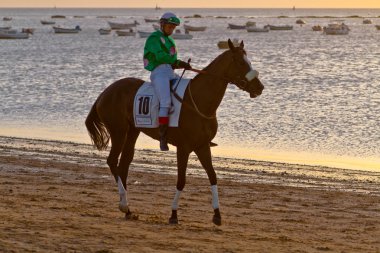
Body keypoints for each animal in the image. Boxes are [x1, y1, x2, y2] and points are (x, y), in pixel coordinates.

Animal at [85, 39, 264, 225]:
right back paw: (124, 205)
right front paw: (173, 214)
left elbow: (213, 176)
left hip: (132, 131)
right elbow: (181, 181)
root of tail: (105, 92)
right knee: (112, 161)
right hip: (118, 131)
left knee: (123, 166)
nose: (260, 87)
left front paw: (217, 214)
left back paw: (128, 210)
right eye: (241, 62)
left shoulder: (202, 146)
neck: (199, 101)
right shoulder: (183, 148)